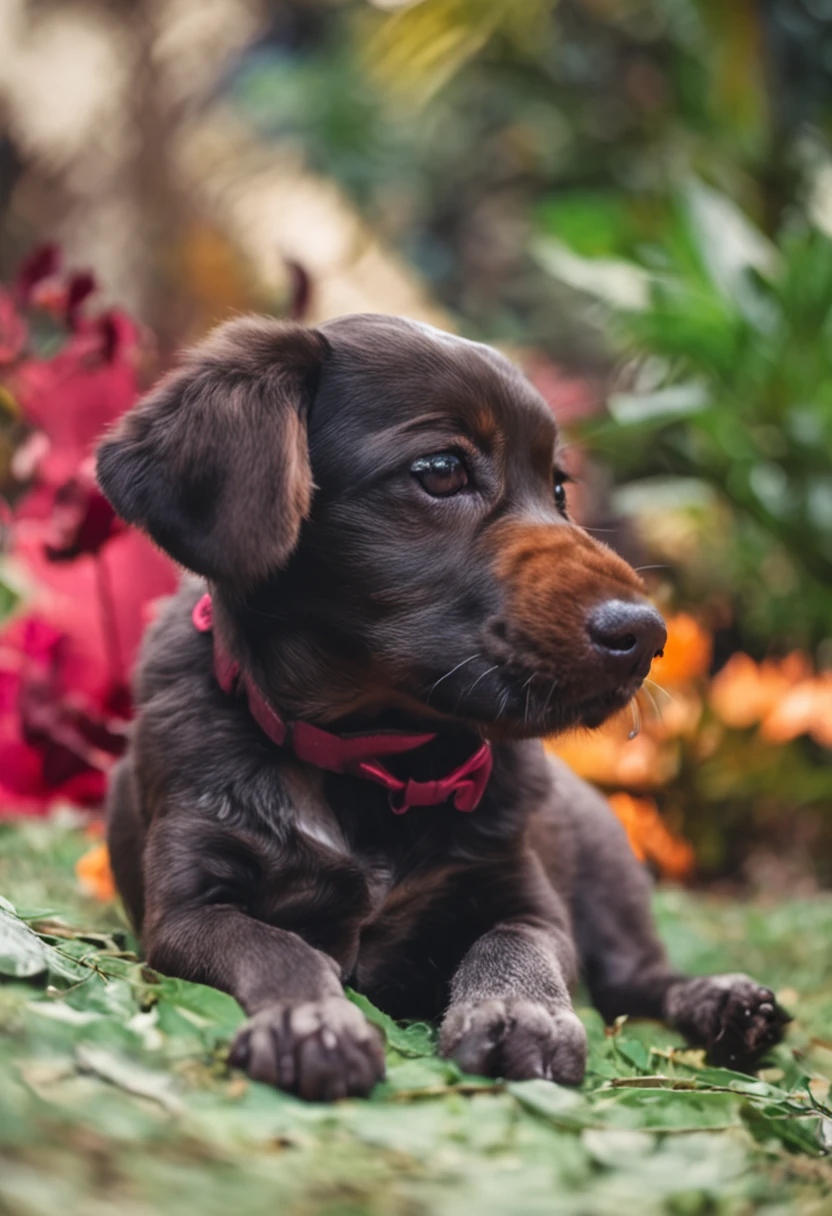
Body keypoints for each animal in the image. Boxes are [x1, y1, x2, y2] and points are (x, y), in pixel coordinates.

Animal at [94, 316, 788, 1104]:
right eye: (440, 471)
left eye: (558, 487)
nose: (646, 637)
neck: (370, 759)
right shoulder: (187, 909)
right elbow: (274, 945)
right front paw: (311, 1020)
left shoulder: (524, 896)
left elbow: (512, 942)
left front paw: (522, 1013)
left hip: (610, 879)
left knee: (640, 981)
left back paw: (725, 1003)